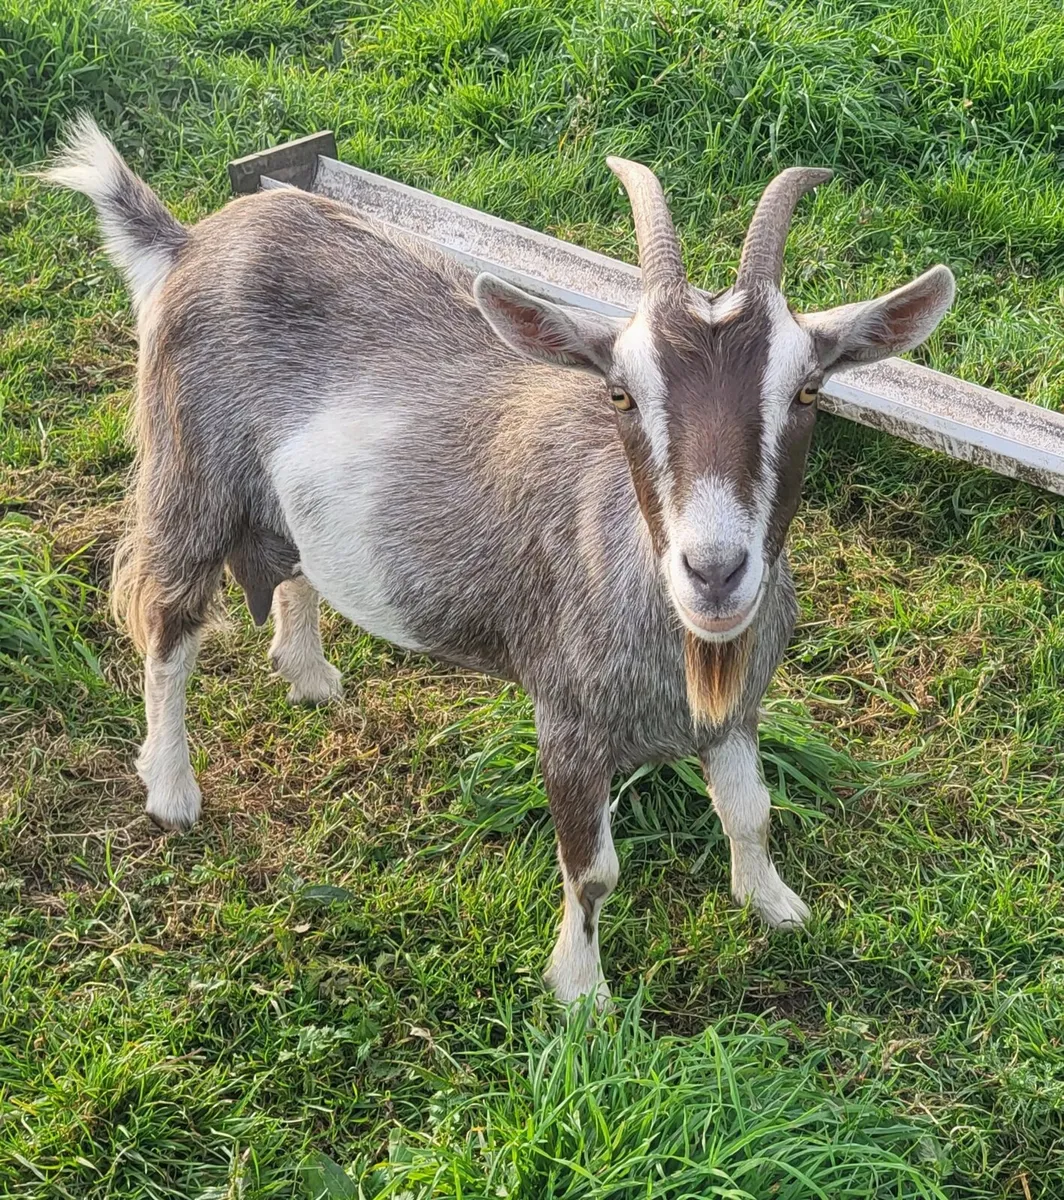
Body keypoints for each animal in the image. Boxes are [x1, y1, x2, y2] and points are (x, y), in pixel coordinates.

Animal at [46, 116, 954, 1002]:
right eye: (620, 393)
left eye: (809, 391)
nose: (715, 571)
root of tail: (191, 240)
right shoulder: (568, 722)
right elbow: (593, 870)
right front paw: (581, 996)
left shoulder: (734, 712)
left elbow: (751, 811)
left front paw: (774, 906)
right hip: (188, 473)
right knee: (166, 623)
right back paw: (172, 791)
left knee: (289, 568)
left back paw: (309, 675)